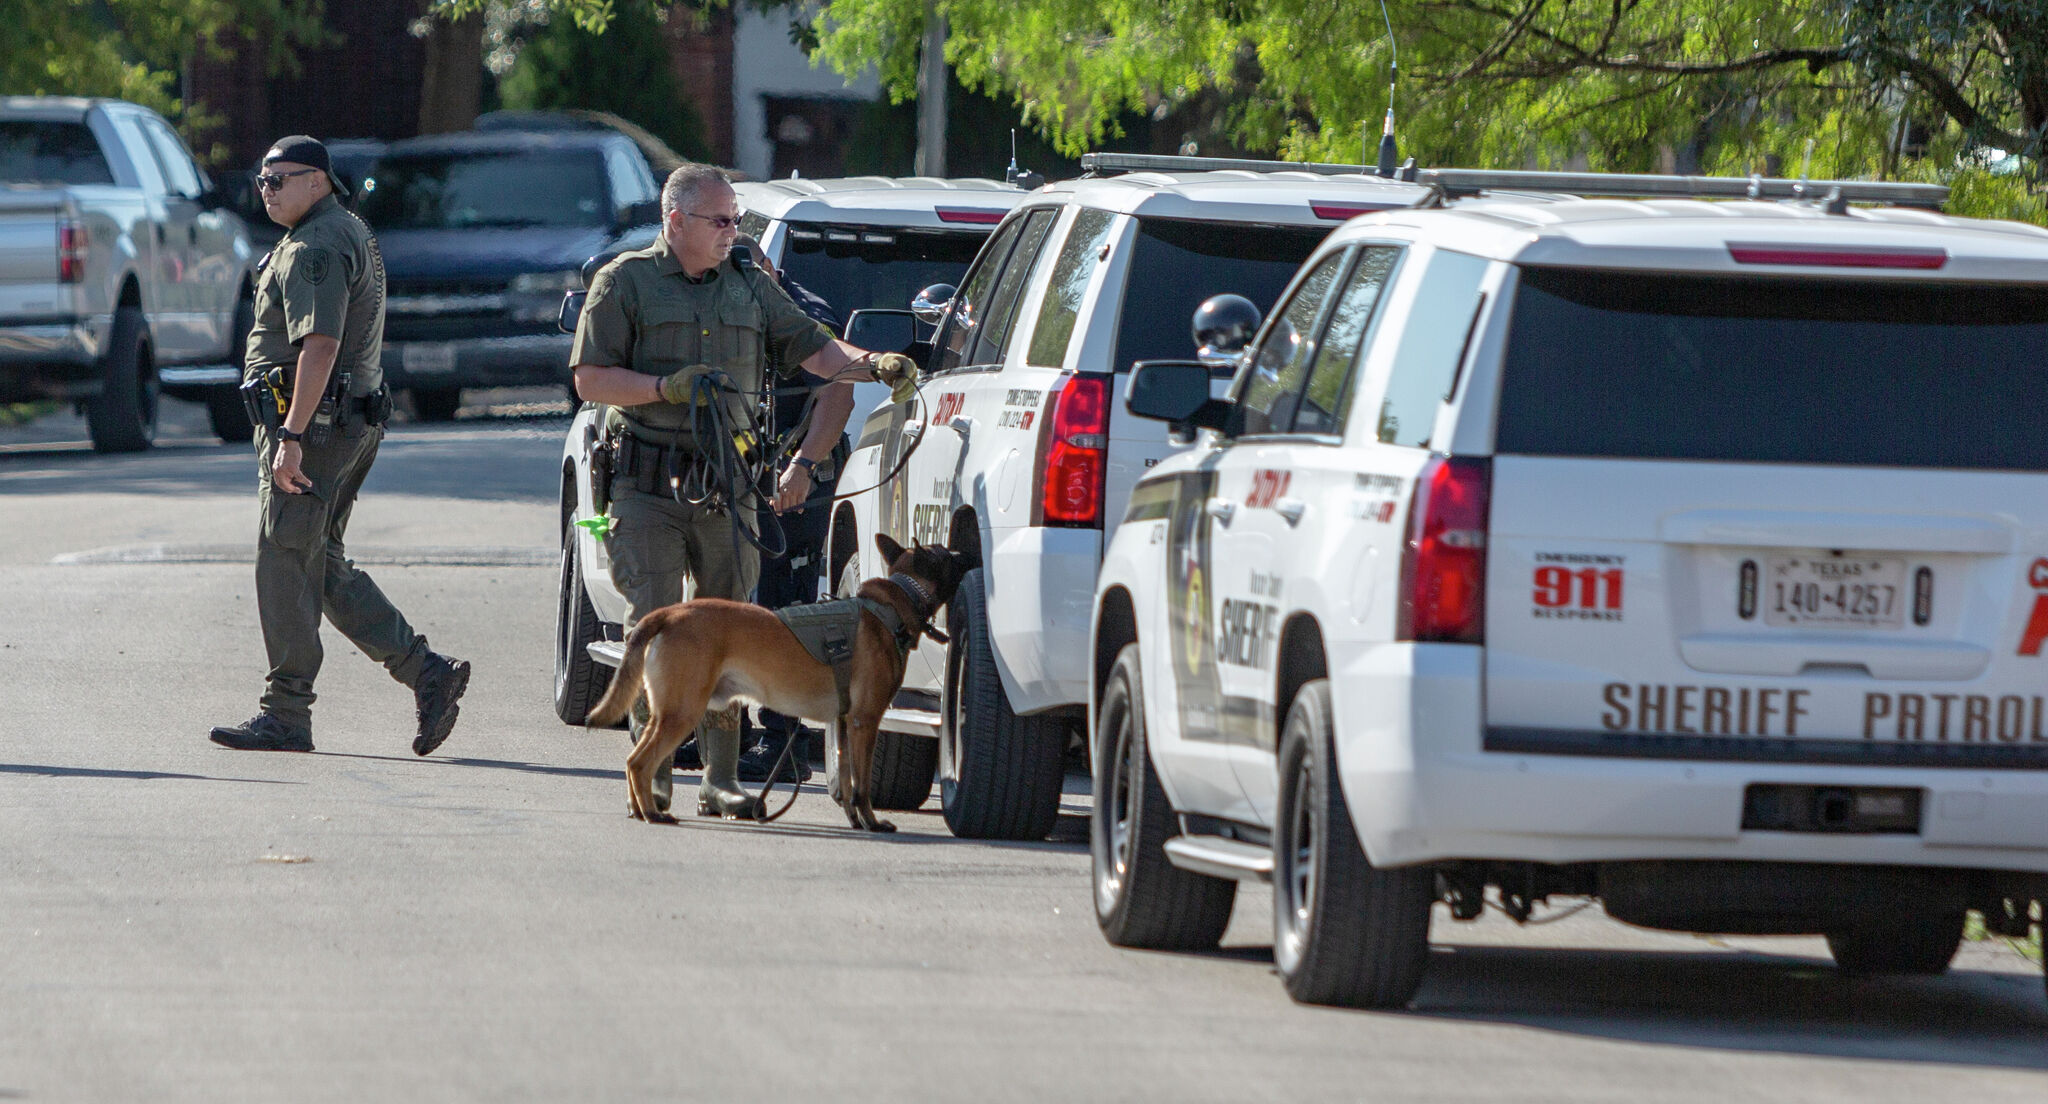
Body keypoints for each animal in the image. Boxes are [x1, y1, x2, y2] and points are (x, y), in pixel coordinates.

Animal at [589, 532, 970, 827]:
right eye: (946, 553)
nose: (966, 551)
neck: (897, 601)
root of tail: (670, 612)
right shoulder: (865, 722)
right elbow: (861, 787)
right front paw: (872, 823)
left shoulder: (844, 725)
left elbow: (847, 784)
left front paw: (854, 820)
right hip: (682, 712)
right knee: (640, 762)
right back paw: (653, 814)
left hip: (669, 712)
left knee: (634, 759)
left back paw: (641, 810)